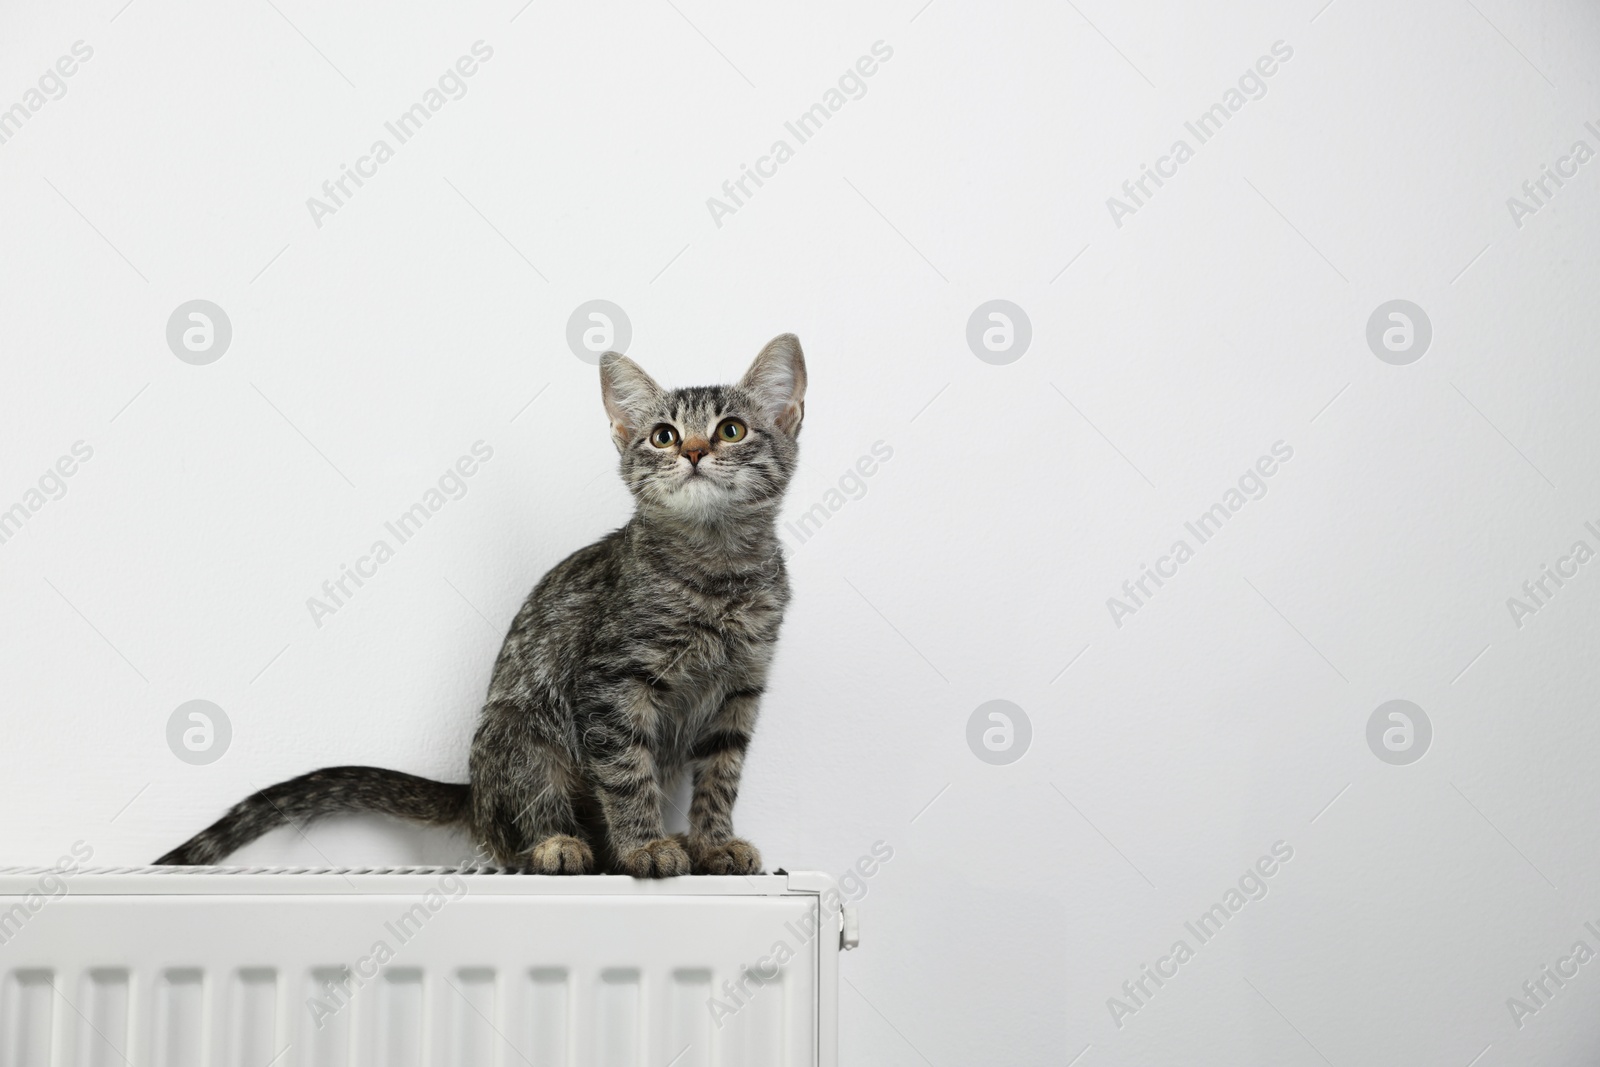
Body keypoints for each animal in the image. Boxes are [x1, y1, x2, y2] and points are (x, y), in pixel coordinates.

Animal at [156, 337, 806, 883]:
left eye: (731, 429)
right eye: (663, 436)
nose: (694, 451)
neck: (717, 569)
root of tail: (473, 792)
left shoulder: (742, 689)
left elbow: (721, 777)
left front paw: (713, 842)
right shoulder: (612, 684)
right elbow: (627, 774)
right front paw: (644, 845)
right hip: (521, 730)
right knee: (522, 832)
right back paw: (560, 845)